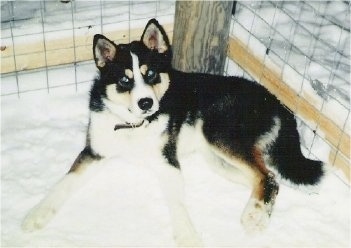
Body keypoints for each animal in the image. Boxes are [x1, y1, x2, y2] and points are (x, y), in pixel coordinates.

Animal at [22, 19, 324, 246]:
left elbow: (177, 203)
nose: (146, 103)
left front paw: (187, 235)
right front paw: (36, 214)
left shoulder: (167, 162)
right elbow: (63, 183)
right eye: (125, 80)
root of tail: (276, 102)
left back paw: (254, 215)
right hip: (216, 158)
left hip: (218, 133)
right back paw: (259, 214)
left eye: (151, 74)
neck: (133, 126)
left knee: (267, 176)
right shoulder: (94, 152)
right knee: (269, 178)